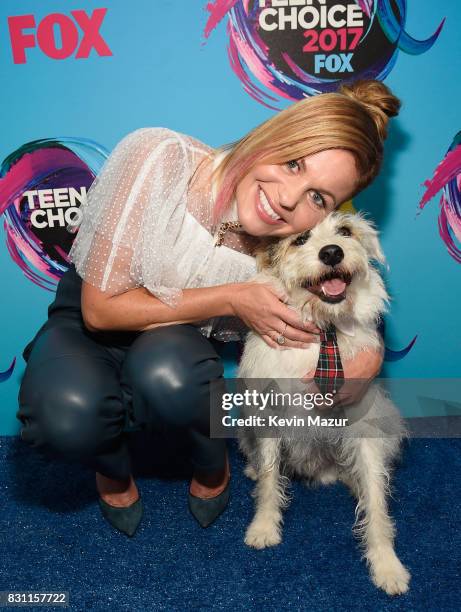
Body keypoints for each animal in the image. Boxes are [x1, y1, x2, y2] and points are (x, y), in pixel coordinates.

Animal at [237, 213, 410, 596]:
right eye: (300, 239)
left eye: (345, 231)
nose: (332, 252)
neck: (323, 331)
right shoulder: (269, 414)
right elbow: (270, 479)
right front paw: (264, 526)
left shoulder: (363, 424)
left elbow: (376, 498)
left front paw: (386, 563)